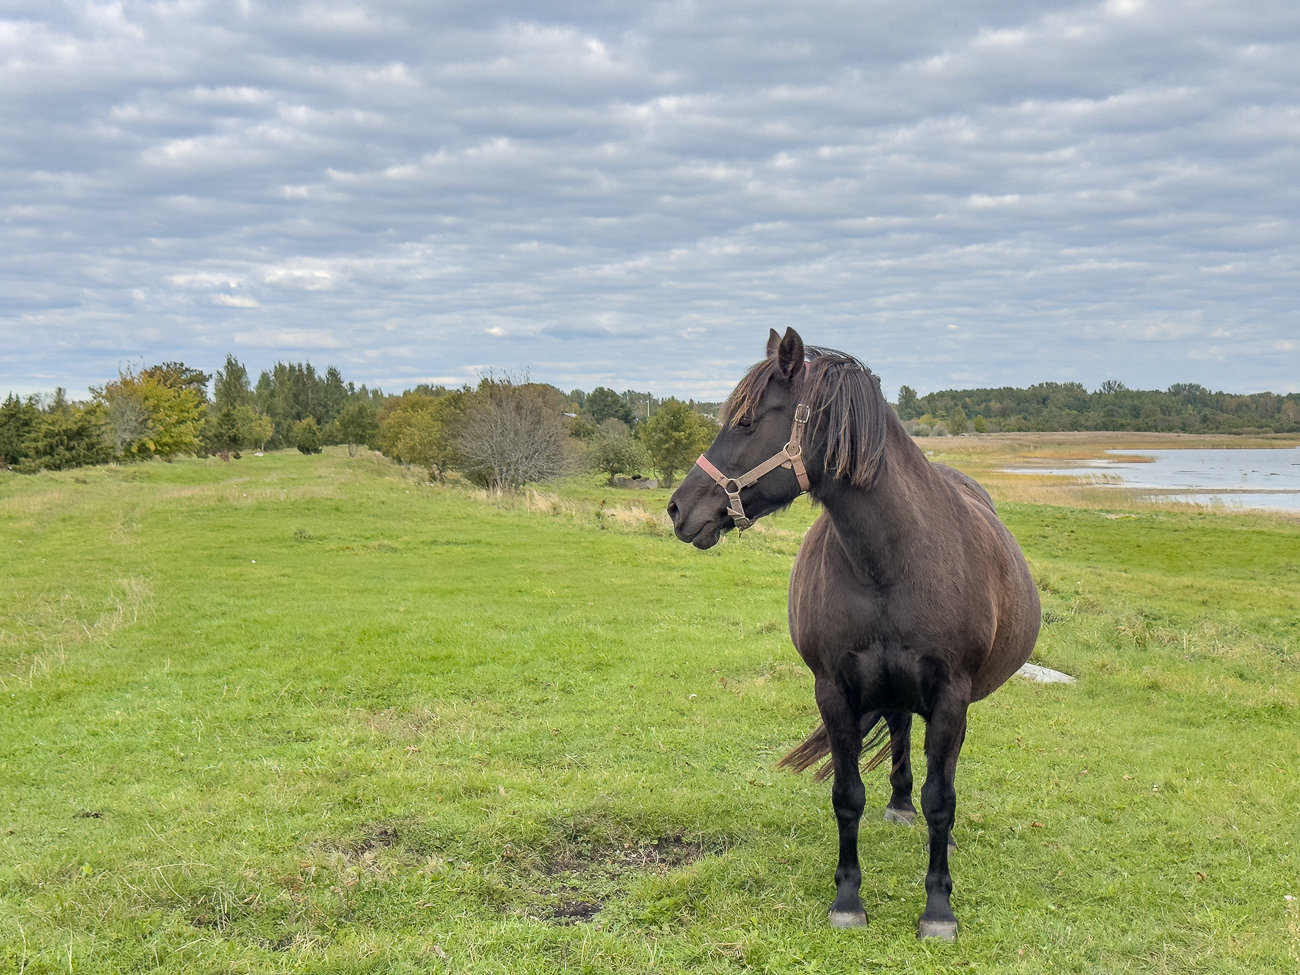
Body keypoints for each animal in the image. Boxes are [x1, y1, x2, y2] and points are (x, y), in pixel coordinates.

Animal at [666, 328, 1040, 940]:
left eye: (746, 422)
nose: (678, 508)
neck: (891, 562)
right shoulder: (835, 691)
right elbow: (847, 796)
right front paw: (847, 899)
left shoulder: (951, 694)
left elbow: (943, 799)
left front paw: (938, 907)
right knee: (899, 730)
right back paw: (900, 804)